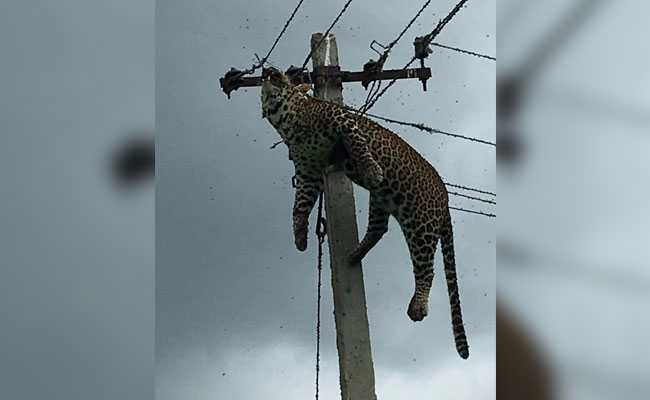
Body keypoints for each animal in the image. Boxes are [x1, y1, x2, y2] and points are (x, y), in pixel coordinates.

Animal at [258, 66, 466, 360]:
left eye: (281, 77)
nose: (270, 70)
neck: (289, 120)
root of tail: (445, 197)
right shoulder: (308, 172)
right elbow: (299, 207)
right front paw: (300, 237)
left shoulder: (343, 120)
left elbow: (359, 146)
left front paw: (372, 169)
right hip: (381, 201)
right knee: (379, 229)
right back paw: (354, 254)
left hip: (420, 224)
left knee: (428, 268)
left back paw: (418, 306)